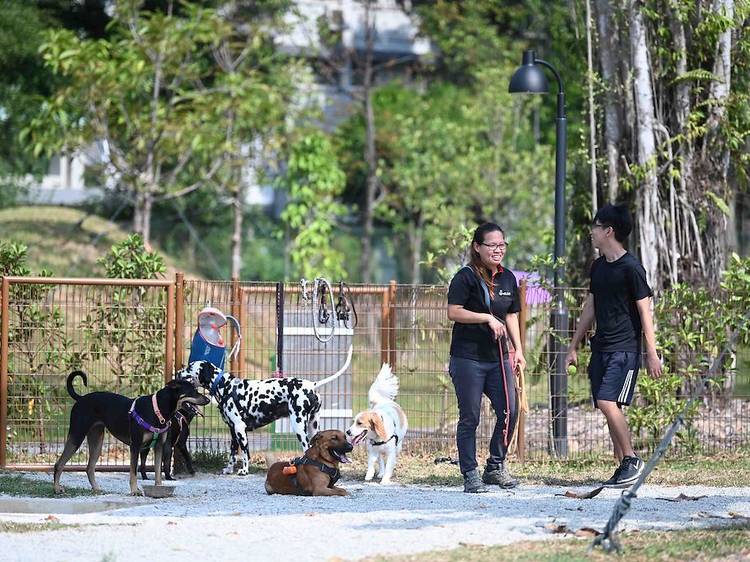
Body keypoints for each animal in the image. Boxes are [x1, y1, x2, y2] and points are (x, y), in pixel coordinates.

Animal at [53, 370, 209, 492]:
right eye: (193, 391)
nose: (208, 399)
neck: (157, 409)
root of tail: (81, 398)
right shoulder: (135, 446)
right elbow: (134, 472)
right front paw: (134, 491)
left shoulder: (159, 446)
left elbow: (158, 471)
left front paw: (158, 487)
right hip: (77, 435)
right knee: (59, 464)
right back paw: (56, 488)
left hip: (97, 440)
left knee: (89, 468)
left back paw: (96, 489)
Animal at [178, 344, 354, 474]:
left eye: (190, 367)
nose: (178, 372)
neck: (226, 386)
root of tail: (311, 385)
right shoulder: (233, 431)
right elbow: (233, 455)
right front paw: (228, 469)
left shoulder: (240, 429)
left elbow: (245, 454)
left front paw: (244, 471)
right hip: (313, 428)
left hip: (299, 426)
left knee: (306, 448)